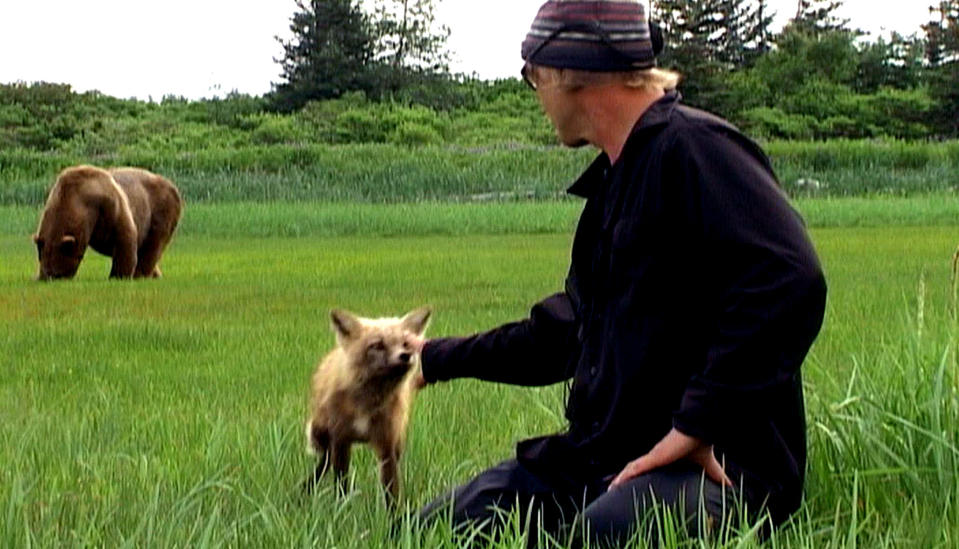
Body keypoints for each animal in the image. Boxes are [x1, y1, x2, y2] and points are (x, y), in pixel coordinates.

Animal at [33, 165, 184, 280]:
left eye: (56, 273)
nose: (45, 277)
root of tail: (172, 185)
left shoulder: (109, 203)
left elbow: (125, 235)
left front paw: (119, 276)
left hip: (161, 208)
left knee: (153, 244)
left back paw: (140, 275)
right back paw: (156, 275)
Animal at [304, 306, 432, 504]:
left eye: (405, 344)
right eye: (377, 345)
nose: (405, 356)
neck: (367, 404)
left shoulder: (388, 446)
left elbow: (391, 494)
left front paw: (396, 514)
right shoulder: (340, 440)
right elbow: (341, 486)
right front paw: (342, 508)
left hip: (397, 444)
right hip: (321, 435)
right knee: (323, 464)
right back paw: (305, 489)